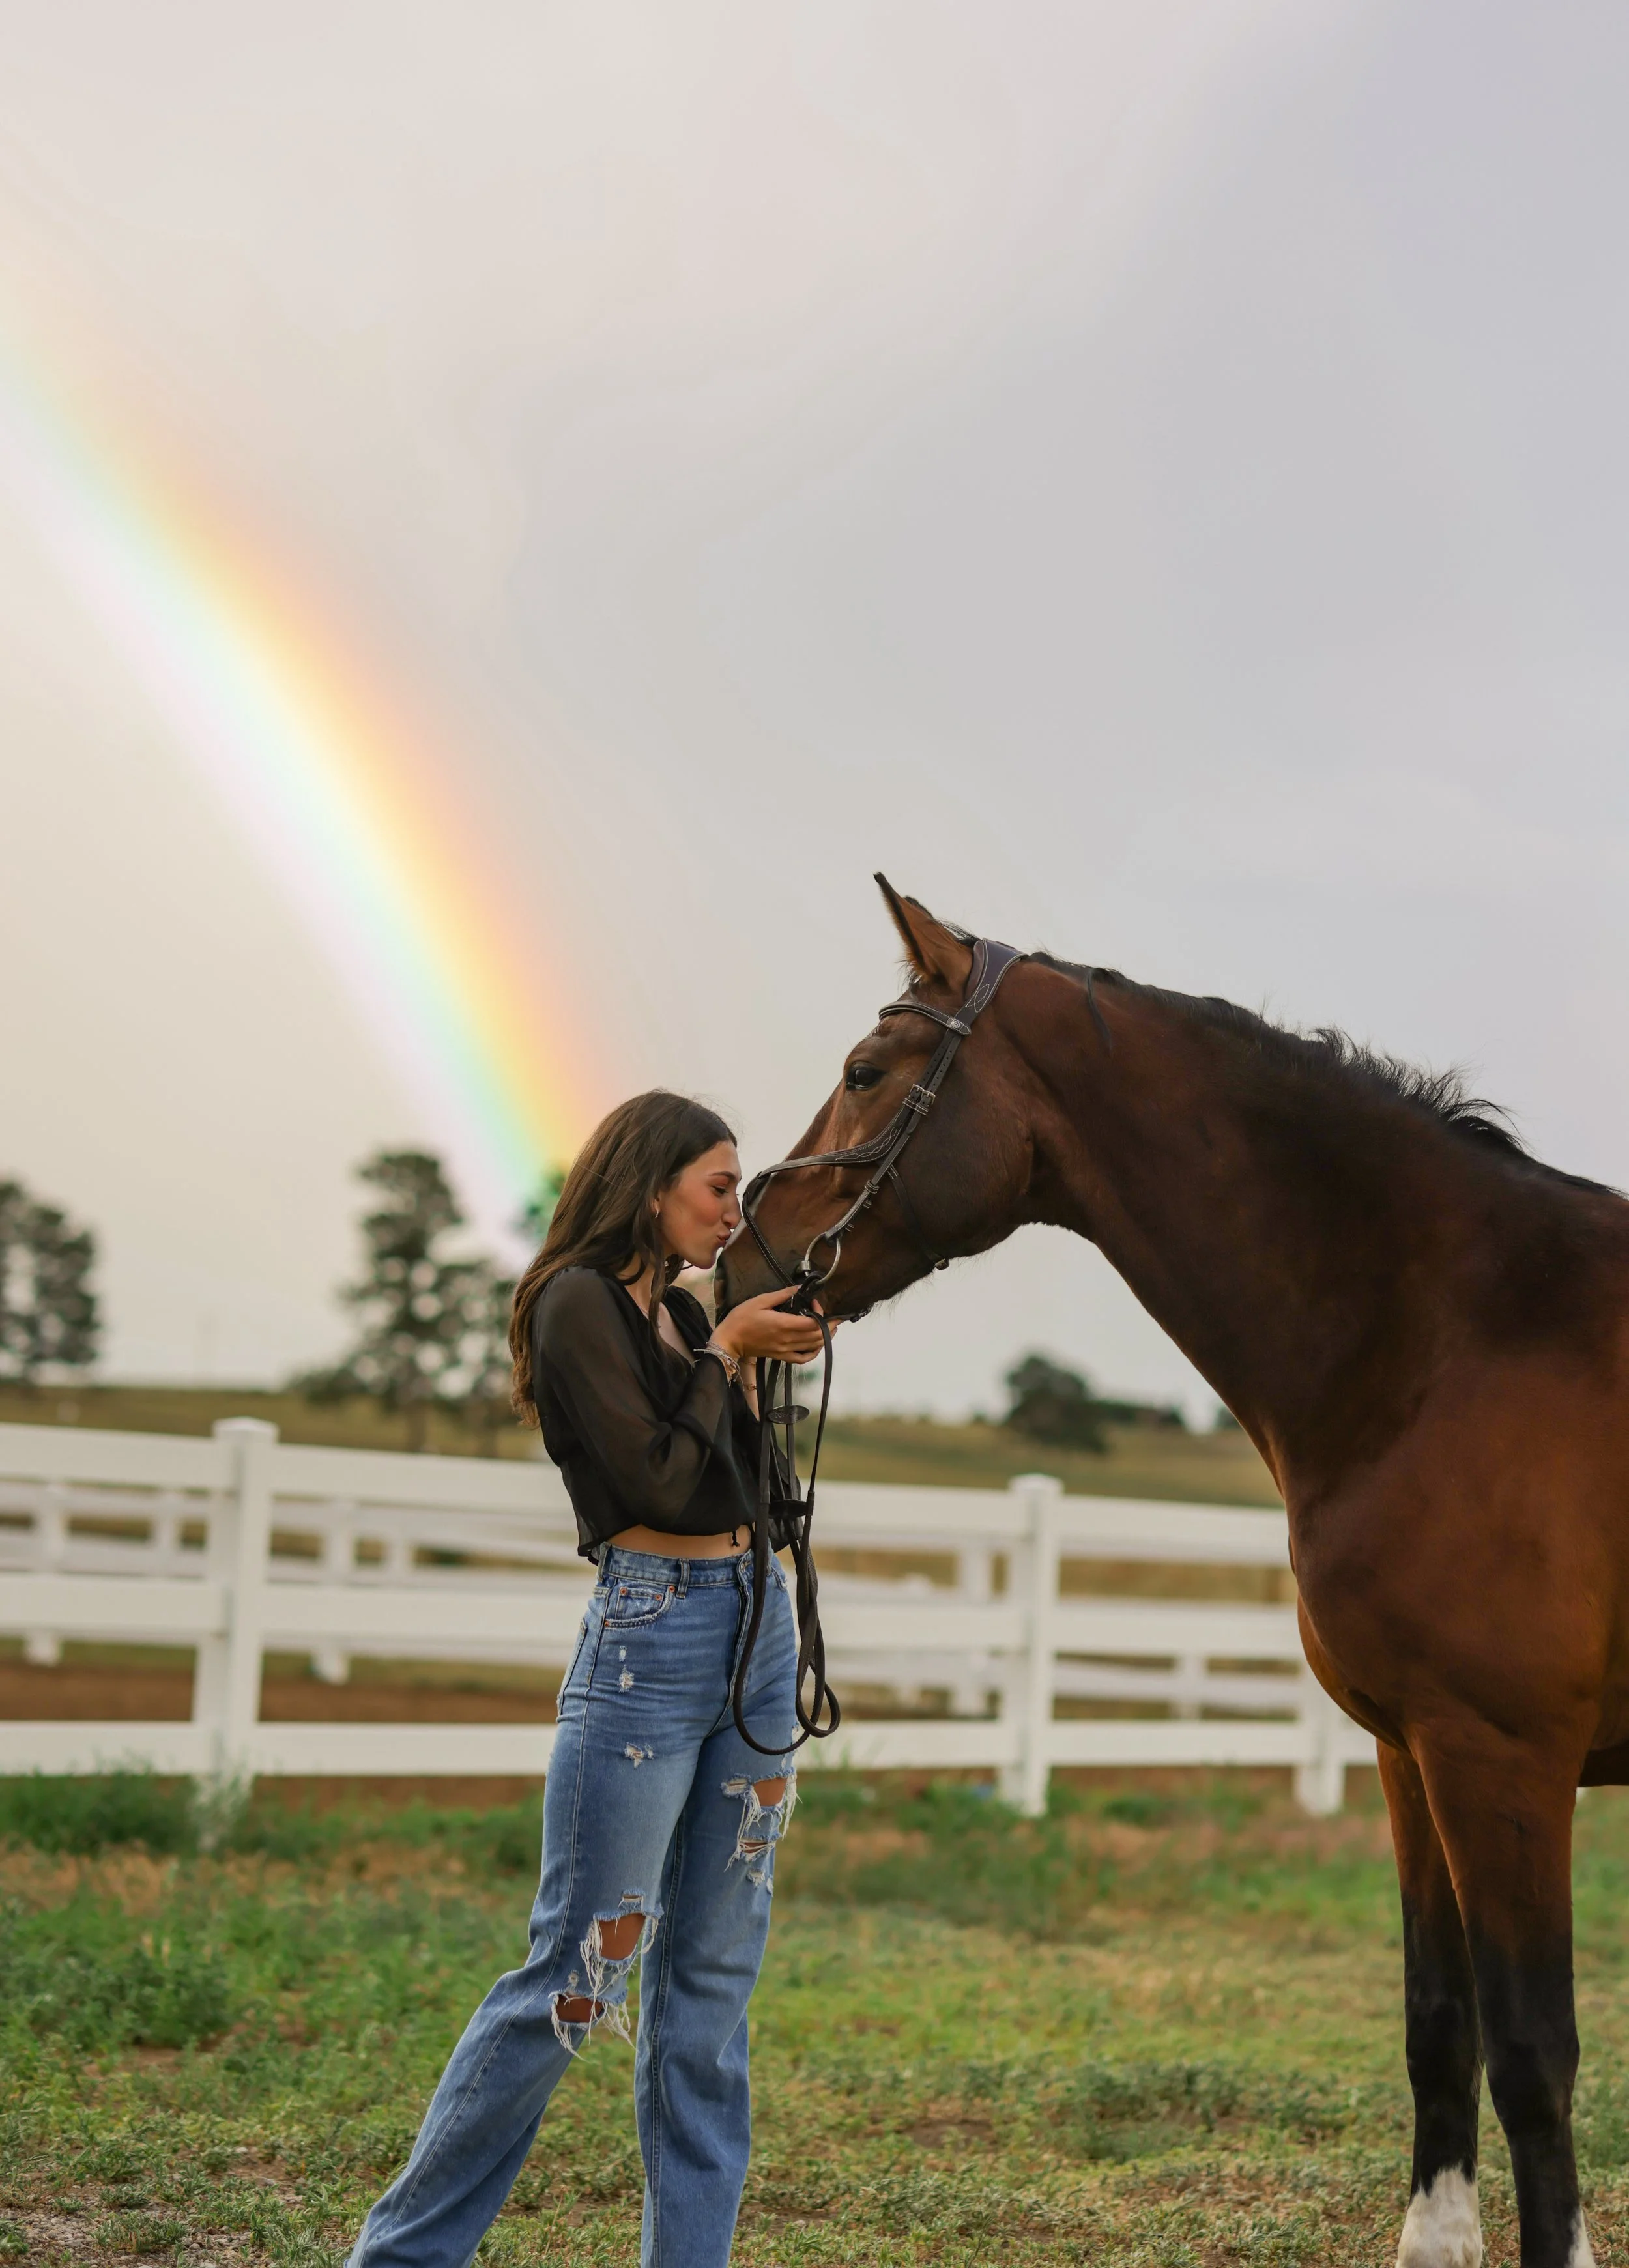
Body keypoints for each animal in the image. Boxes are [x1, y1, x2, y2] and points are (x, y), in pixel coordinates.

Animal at [718, 875, 1629, 2268]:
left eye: (865, 1072)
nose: (735, 1262)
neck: (1459, 1342)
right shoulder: (1412, 1752)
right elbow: (1439, 2020)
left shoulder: (1505, 1760)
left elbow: (1533, 2052)